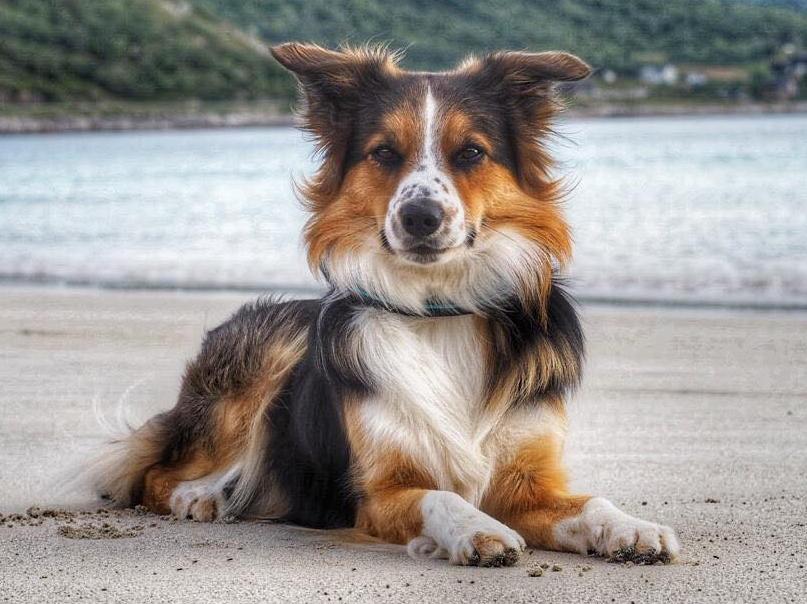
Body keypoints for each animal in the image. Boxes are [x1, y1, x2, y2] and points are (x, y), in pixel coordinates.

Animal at [90, 43, 679, 567]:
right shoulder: (379, 494)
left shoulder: (529, 484)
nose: (420, 217)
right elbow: (442, 495)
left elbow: (593, 502)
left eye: (471, 152)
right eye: (384, 153)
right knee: (154, 475)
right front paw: (479, 529)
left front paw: (631, 528)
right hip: (261, 364)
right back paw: (201, 496)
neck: (440, 310)